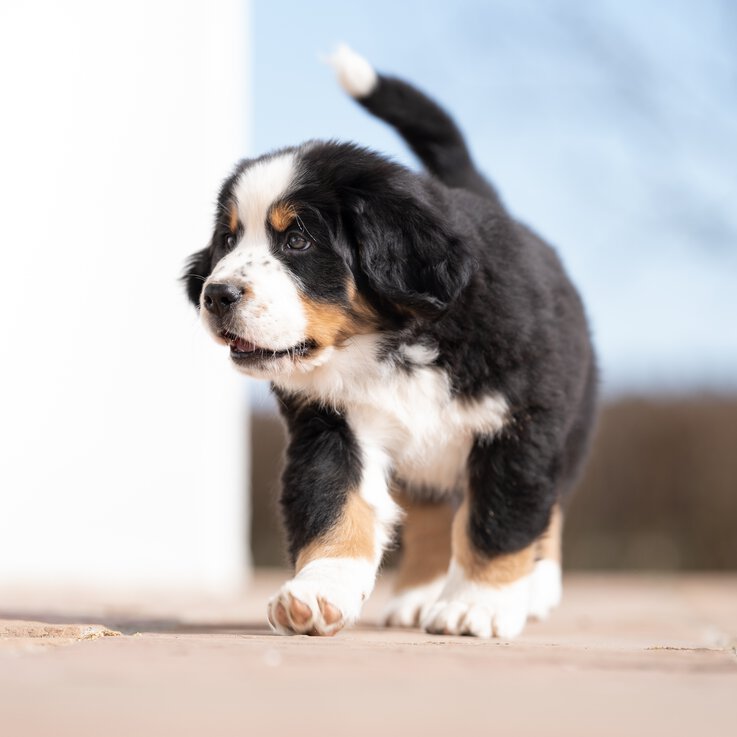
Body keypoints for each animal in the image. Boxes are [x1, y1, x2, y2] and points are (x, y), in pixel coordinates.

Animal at [184, 46, 600, 640]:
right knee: (430, 516)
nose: (216, 294)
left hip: (571, 423)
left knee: (548, 508)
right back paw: (419, 595)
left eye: (297, 239)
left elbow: (498, 520)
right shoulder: (328, 425)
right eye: (227, 239)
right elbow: (333, 506)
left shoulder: (521, 425)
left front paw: (477, 605)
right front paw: (317, 594)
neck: (394, 343)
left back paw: (535, 588)